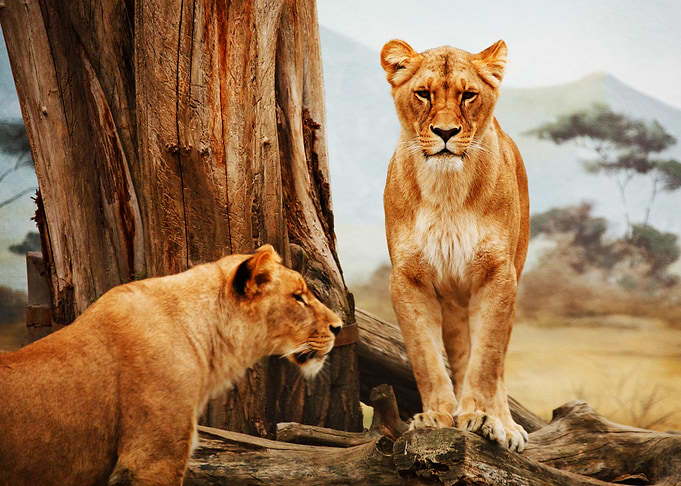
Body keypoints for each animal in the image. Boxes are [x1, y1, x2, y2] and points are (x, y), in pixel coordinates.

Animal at [380, 39, 530, 451]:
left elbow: (487, 360)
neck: (446, 189)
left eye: (468, 95)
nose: (445, 132)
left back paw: (505, 425)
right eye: (423, 93)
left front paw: (480, 417)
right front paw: (436, 415)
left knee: (498, 362)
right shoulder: (408, 279)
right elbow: (425, 356)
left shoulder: (498, 276)